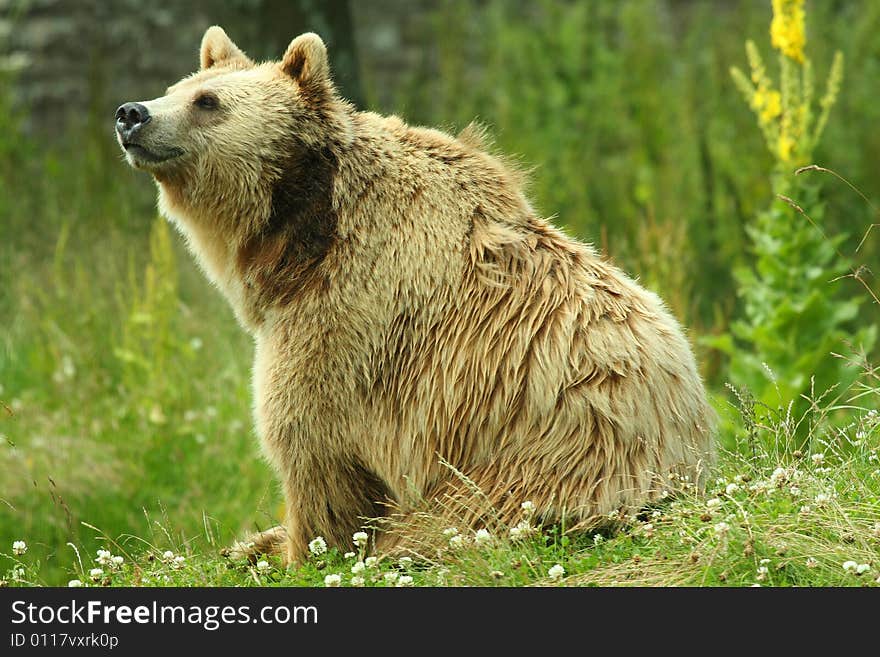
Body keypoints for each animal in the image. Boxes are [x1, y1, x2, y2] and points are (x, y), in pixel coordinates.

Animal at [115, 24, 716, 560]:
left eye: (207, 101)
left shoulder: (346, 321)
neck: (304, 235)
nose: (131, 113)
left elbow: (309, 442)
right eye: (177, 87)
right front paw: (254, 540)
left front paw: (298, 547)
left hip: (532, 465)